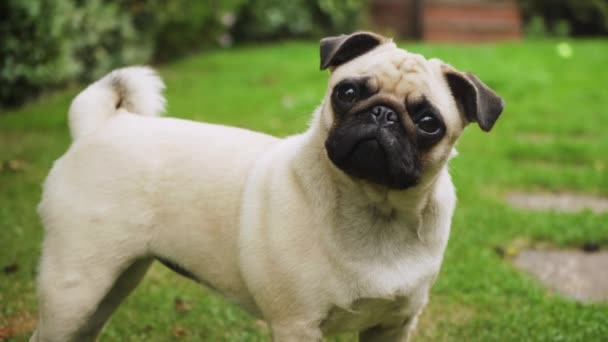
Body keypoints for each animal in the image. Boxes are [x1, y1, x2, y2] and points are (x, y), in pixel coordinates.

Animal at [32, 32, 504, 342]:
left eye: (428, 123)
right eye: (348, 93)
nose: (382, 114)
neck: (375, 209)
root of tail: (103, 124)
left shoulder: (391, 326)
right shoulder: (297, 325)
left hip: (115, 282)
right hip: (75, 286)